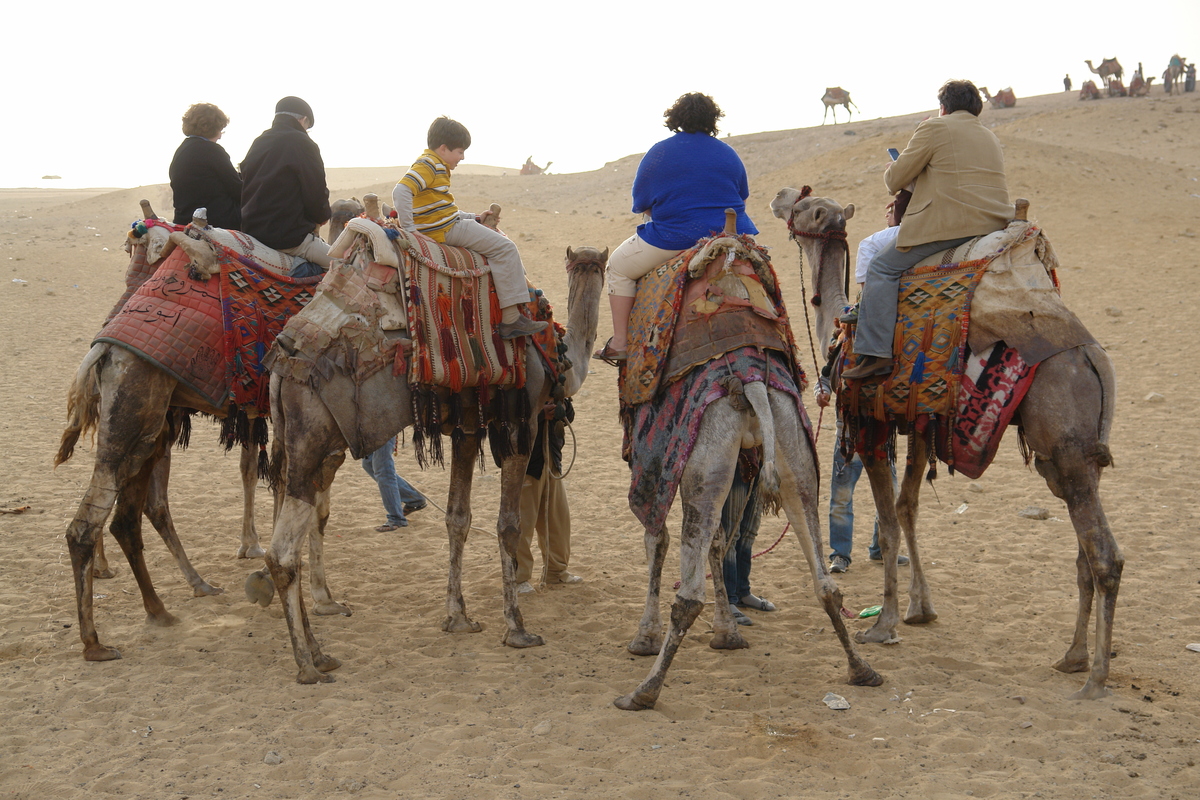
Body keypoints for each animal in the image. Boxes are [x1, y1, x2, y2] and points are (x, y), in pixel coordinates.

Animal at [258, 211, 604, 681]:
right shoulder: (523, 419)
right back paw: (308, 665)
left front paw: (458, 618)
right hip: (311, 439)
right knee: (281, 552)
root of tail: (281, 363)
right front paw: (516, 628)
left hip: (296, 443)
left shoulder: (467, 426)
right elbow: (508, 524)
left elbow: (458, 518)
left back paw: (318, 649)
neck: (557, 353)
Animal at [609, 212, 883, 714]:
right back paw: (862, 670)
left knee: (687, 595)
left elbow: (656, 539)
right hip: (792, 454)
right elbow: (721, 542)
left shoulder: (653, 459)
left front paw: (643, 639)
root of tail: (752, 380)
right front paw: (727, 634)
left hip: (704, 462)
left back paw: (642, 693)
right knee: (825, 583)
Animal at [772, 188, 1118, 700]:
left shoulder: (871, 427)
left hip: (1066, 444)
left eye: (802, 206)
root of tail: (1094, 357)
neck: (839, 323)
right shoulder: (922, 423)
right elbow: (909, 506)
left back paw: (1095, 679)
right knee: (1083, 552)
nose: (778, 197)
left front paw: (884, 625)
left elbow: (889, 523)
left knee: (1104, 557)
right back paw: (1072, 658)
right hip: (1070, 458)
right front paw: (921, 608)